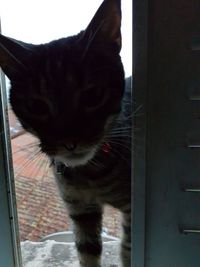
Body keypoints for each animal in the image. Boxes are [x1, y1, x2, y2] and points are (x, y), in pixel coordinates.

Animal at [0, 0, 131, 267]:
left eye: (93, 95)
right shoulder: (81, 210)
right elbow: (87, 253)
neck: (91, 174)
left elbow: (127, 249)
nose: (70, 142)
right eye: (36, 106)